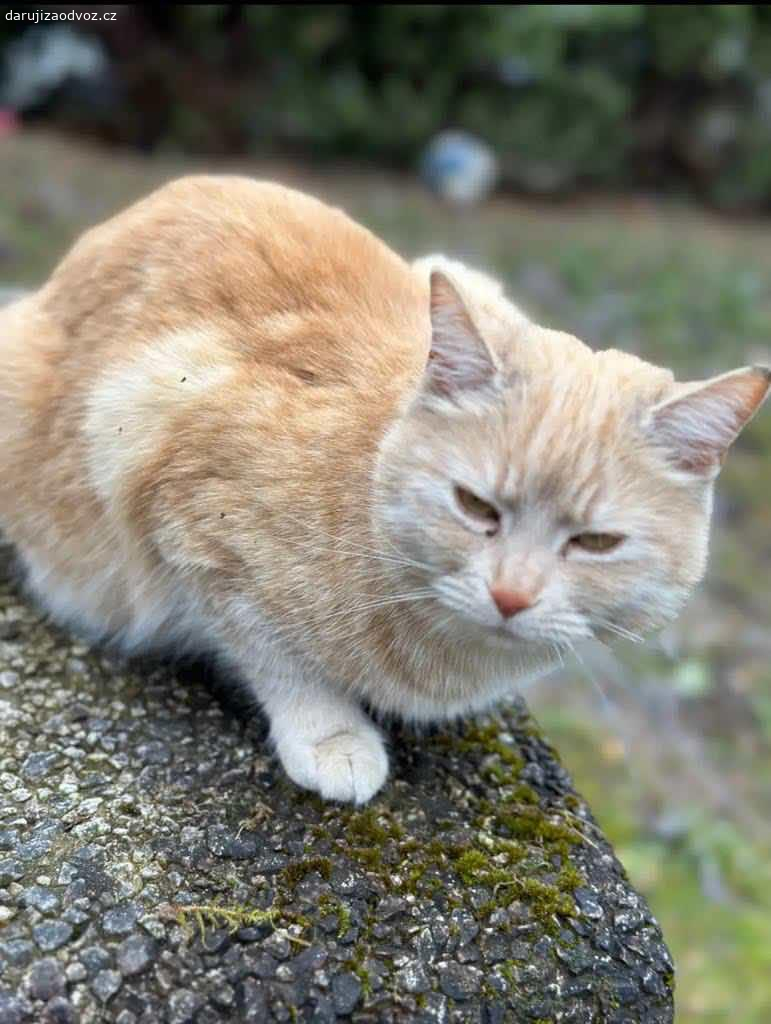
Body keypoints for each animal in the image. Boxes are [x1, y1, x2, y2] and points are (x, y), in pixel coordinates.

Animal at [0, 176, 765, 802]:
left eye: (596, 543)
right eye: (475, 507)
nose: (511, 596)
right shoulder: (174, 476)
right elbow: (274, 653)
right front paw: (330, 736)